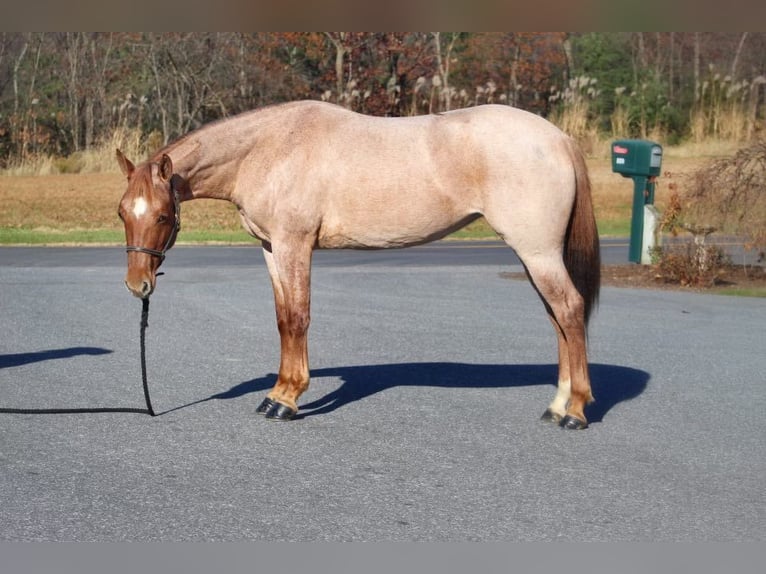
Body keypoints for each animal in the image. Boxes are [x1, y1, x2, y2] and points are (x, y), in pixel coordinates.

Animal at [117, 101, 604, 430]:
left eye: (162, 216)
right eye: (123, 212)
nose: (138, 285)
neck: (271, 148)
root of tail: (558, 138)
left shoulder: (295, 245)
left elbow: (298, 318)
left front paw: (287, 399)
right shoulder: (272, 248)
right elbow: (282, 320)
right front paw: (277, 392)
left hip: (537, 252)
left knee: (570, 310)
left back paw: (576, 410)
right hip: (536, 256)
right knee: (558, 318)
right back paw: (557, 405)